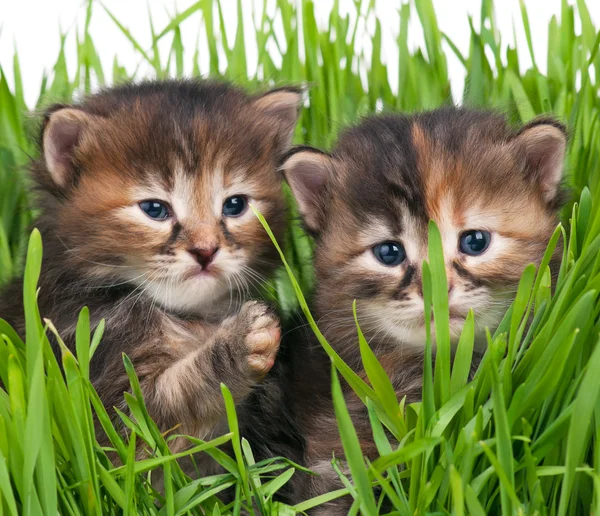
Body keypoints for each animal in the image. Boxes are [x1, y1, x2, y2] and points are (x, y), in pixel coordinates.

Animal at [0, 78, 300, 446]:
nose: (205, 250)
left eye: (235, 205)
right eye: (154, 209)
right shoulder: (96, 390)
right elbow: (168, 406)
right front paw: (241, 343)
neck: (189, 318)